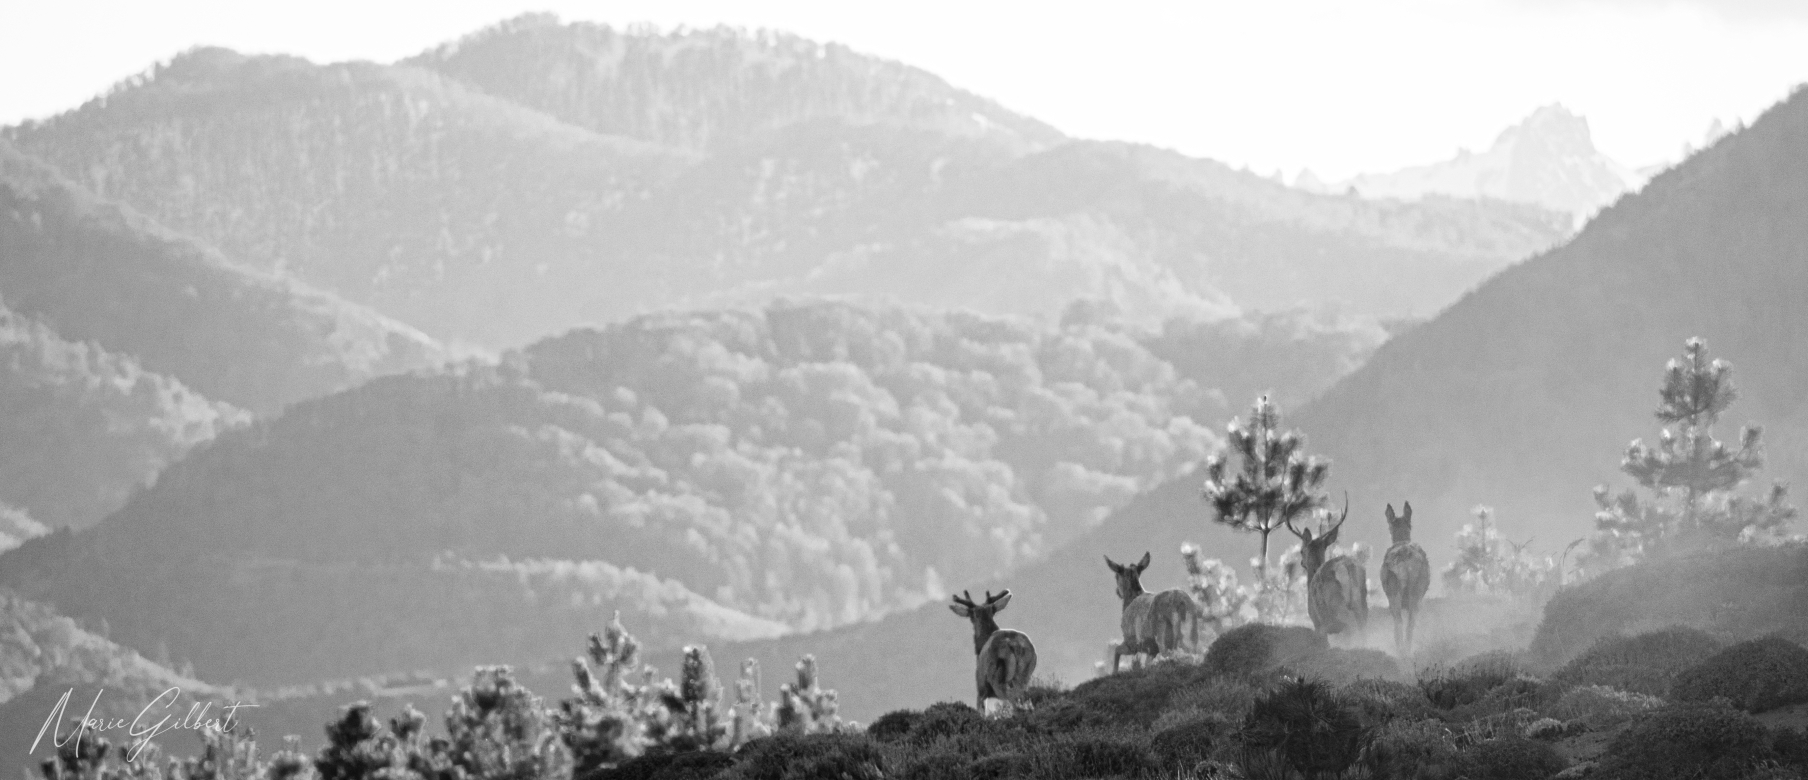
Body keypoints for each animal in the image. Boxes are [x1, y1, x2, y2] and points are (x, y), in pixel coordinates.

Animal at [1287, 499, 1366, 644]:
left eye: (1301, 551)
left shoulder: (1318, 624)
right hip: (1362, 602)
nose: (1301, 563)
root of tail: (1346, 566)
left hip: (1338, 605)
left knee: (1352, 625)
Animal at [1381, 503, 1424, 655]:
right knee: (1409, 621)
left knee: (1400, 621)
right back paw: (1406, 649)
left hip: (1395, 591)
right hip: (1415, 590)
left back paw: (1402, 650)